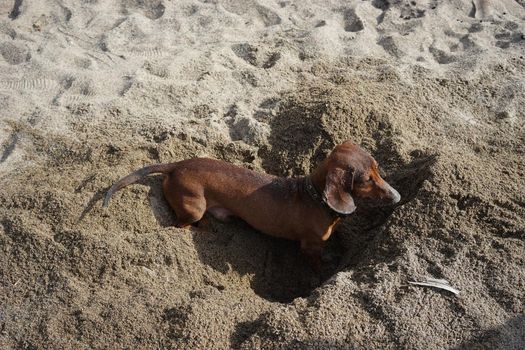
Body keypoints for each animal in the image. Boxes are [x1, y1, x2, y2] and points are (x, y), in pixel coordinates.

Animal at [103, 141, 402, 270]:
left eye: (378, 170)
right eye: (366, 180)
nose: (398, 197)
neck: (314, 196)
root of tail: (177, 165)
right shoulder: (310, 246)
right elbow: (316, 260)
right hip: (193, 206)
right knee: (182, 225)